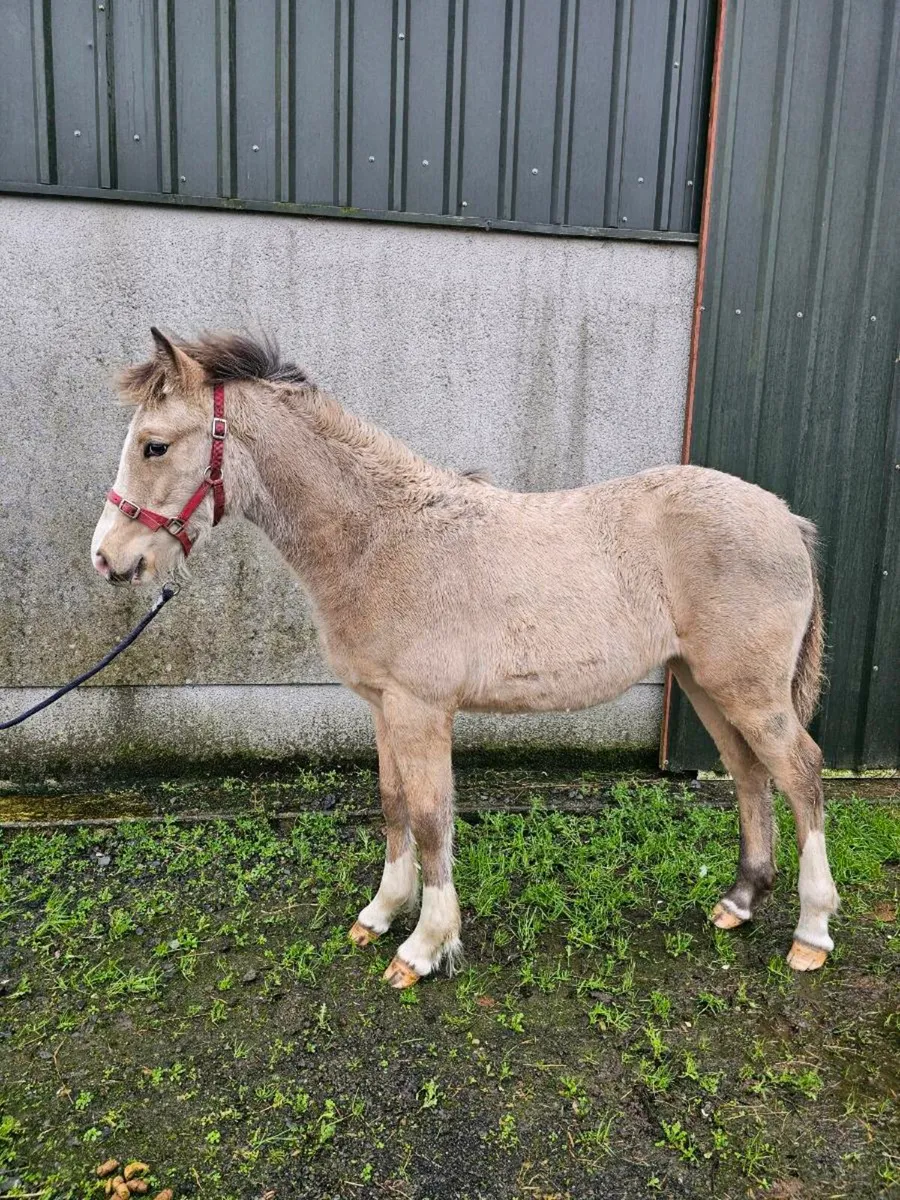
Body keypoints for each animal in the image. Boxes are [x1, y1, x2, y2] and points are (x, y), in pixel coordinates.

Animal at [91, 329, 839, 987]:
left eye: (155, 445)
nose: (108, 558)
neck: (380, 538)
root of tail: (786, 518)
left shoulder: (421, 709)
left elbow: (429, 819)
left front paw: (424, 947)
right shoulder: (383, 707)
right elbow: (393, 804)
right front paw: (380, 914)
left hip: (747, 689)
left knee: (800, 772)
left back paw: (812, 934)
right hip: (706, 683)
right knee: (749, 773)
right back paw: (739, 902)